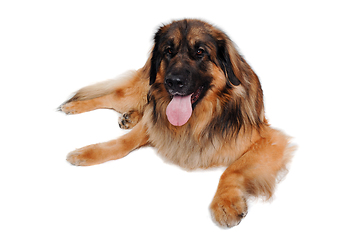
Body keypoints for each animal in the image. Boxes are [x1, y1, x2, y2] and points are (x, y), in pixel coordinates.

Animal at [59, 18, 296, 227]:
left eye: (200, 52)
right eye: (168, 51)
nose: (173, 82)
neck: (199, 119)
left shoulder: (269, 140)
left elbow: (233, 169)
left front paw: (224, 203)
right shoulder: (155, 122)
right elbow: (122, 142)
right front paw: (87, 152)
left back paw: (128, 116)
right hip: (141, 90)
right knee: (112, 96)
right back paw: (73, 106)